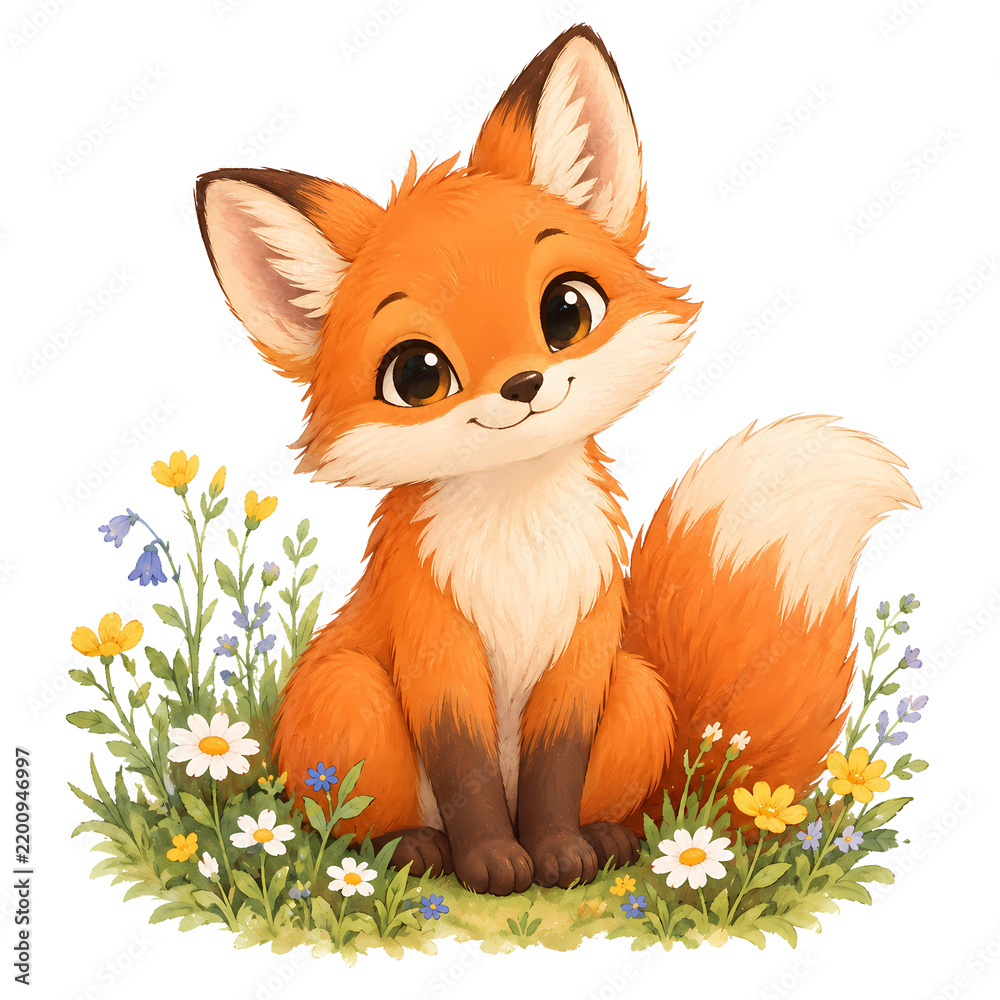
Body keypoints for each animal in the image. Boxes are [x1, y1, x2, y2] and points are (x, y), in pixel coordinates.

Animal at [194, 24, 917, 895]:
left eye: (566, 310)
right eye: (417, 375)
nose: (524, 385)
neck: (522, 542)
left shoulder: (585, 645)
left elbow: (553, 768)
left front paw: (557, 855)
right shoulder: (436, 647)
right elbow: (467, 770)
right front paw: (491, 864)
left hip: (636, 687)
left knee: (629, 807)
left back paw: (608, 841)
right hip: (348, 692)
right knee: (343, 821)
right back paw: (409, 850)